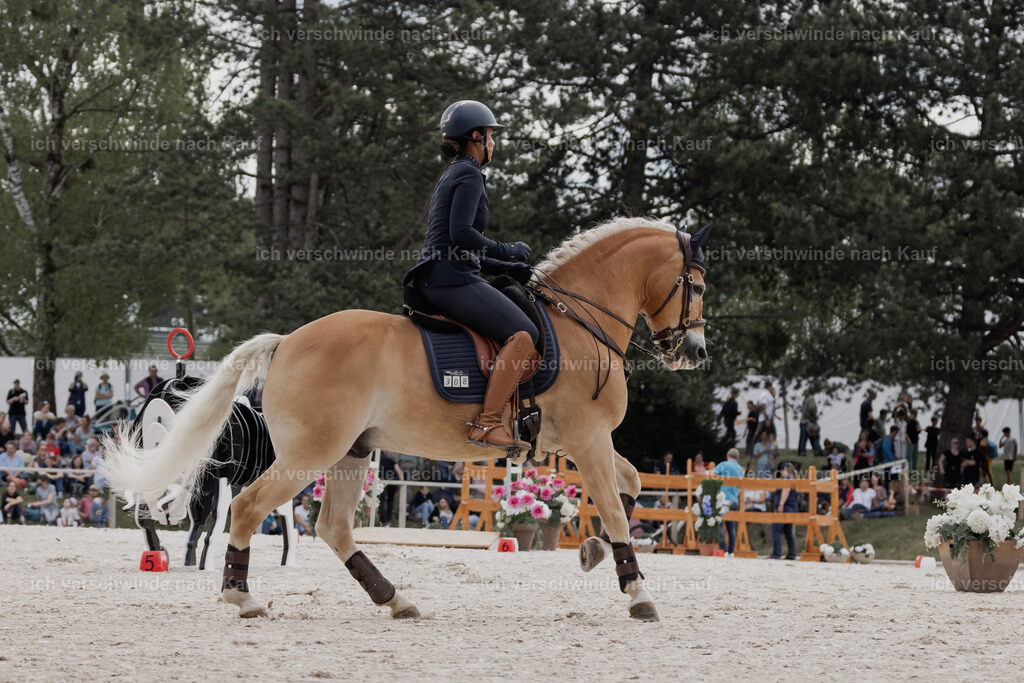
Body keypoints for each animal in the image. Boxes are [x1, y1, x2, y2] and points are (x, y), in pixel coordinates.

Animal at [100, 216, 711, 622]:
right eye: (698, 286)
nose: (695, 353)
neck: (579, 320)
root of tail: (287, 341)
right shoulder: (587, 438)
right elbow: (616, 508)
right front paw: (638, 592)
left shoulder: (575, 441)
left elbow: (629, 486)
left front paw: (592, 552)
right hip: (310, 454)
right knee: (250, 508)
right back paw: (242, 595)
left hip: (352, 451)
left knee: (333, 526)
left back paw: (395, 599)